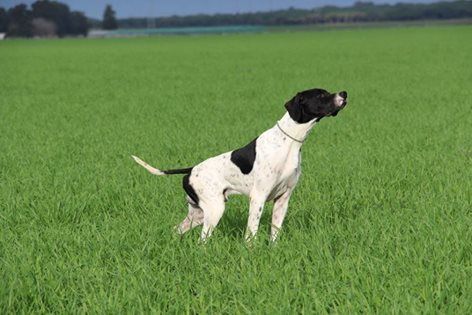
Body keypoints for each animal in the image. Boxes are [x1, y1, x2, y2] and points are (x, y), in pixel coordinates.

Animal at [132, 87, 346, 243]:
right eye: (321, 95)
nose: (344, 93)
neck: (288, 141)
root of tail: (191, 170)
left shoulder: (283, 199)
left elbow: (275, 233)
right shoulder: (258, 198)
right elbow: (251, 231)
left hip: (198, 213)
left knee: (177, 230)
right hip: (214, 210)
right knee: (202, 240)